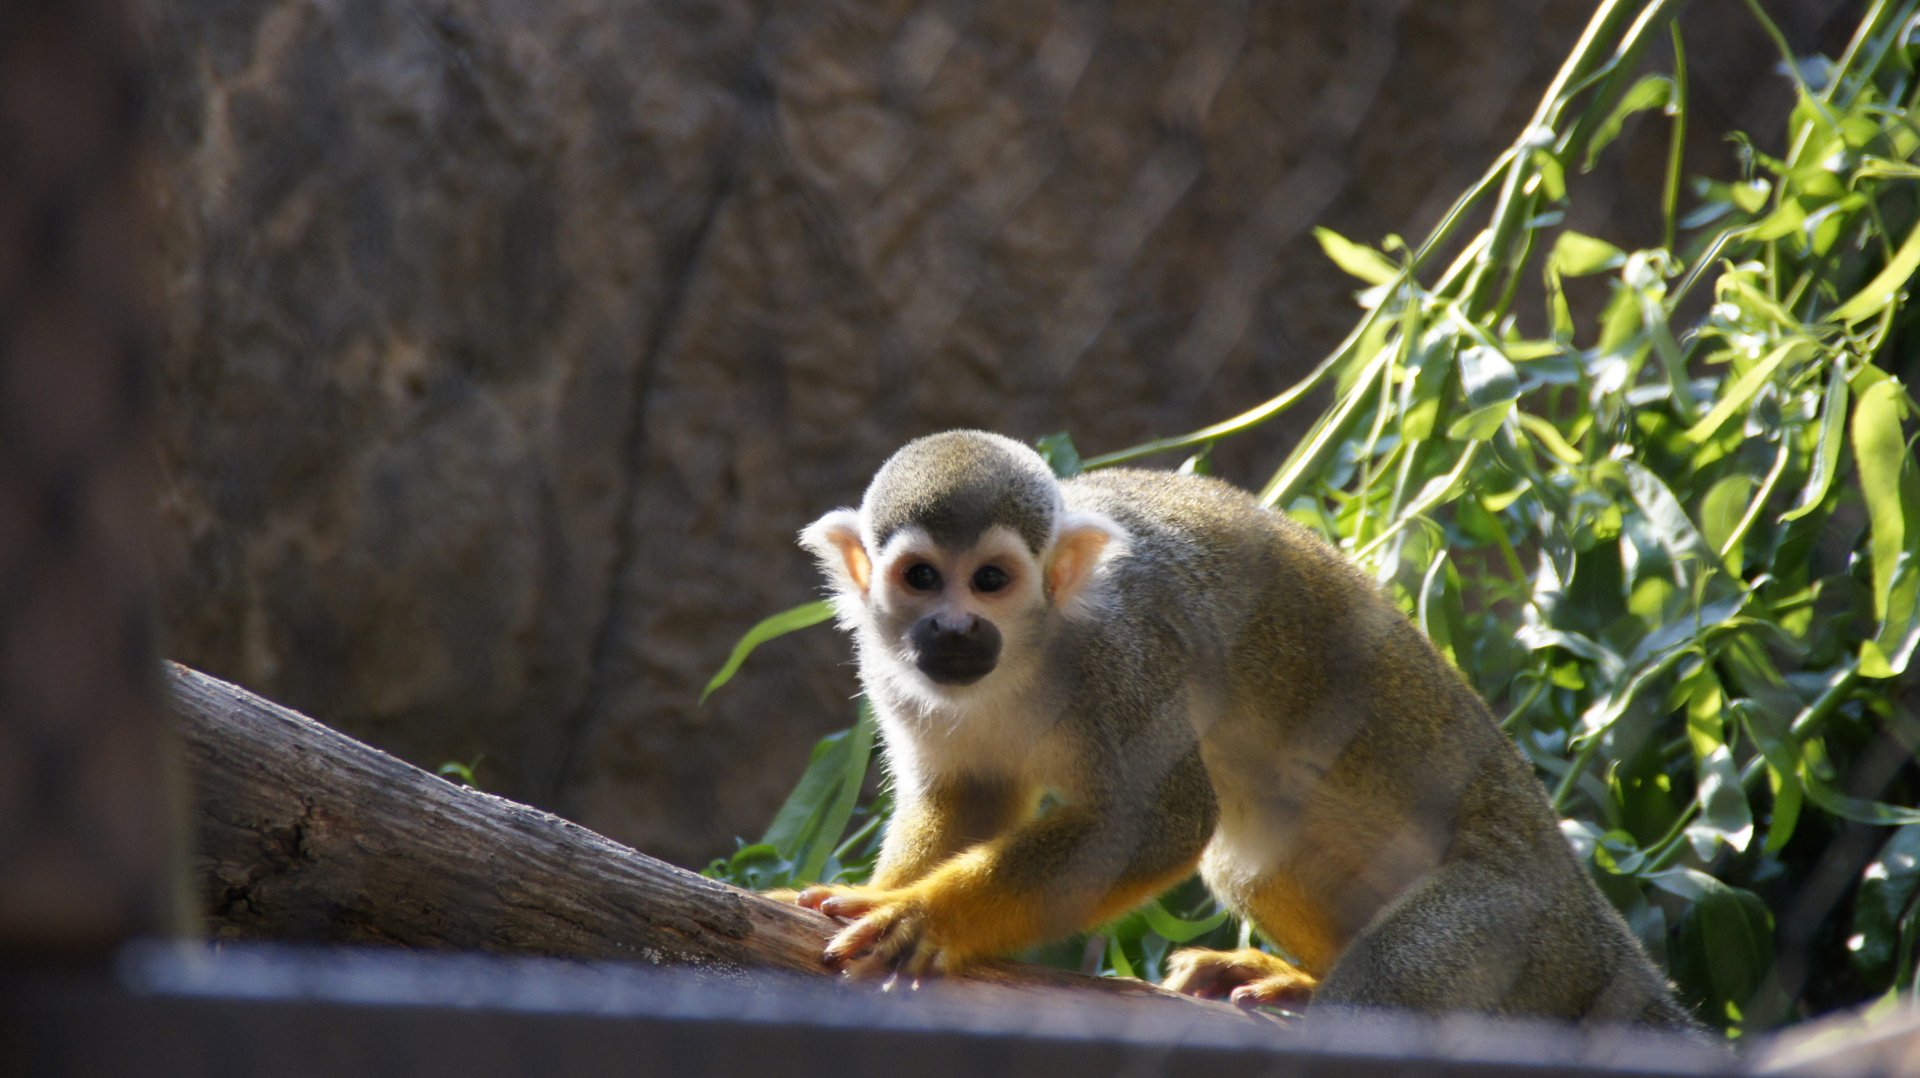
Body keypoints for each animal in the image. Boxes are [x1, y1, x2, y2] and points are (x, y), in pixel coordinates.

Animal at [792, 429, 1695, 1028]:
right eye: (920, 577)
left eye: (990, 581)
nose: (952, 630)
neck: (1028, 651)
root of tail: (1598, 932)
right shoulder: (893, 670)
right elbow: (967, 795)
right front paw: (864, 899)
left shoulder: (1124, 655)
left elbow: (1153, 821)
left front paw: (925, 919)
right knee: (1252, 860)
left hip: (1510, 923)